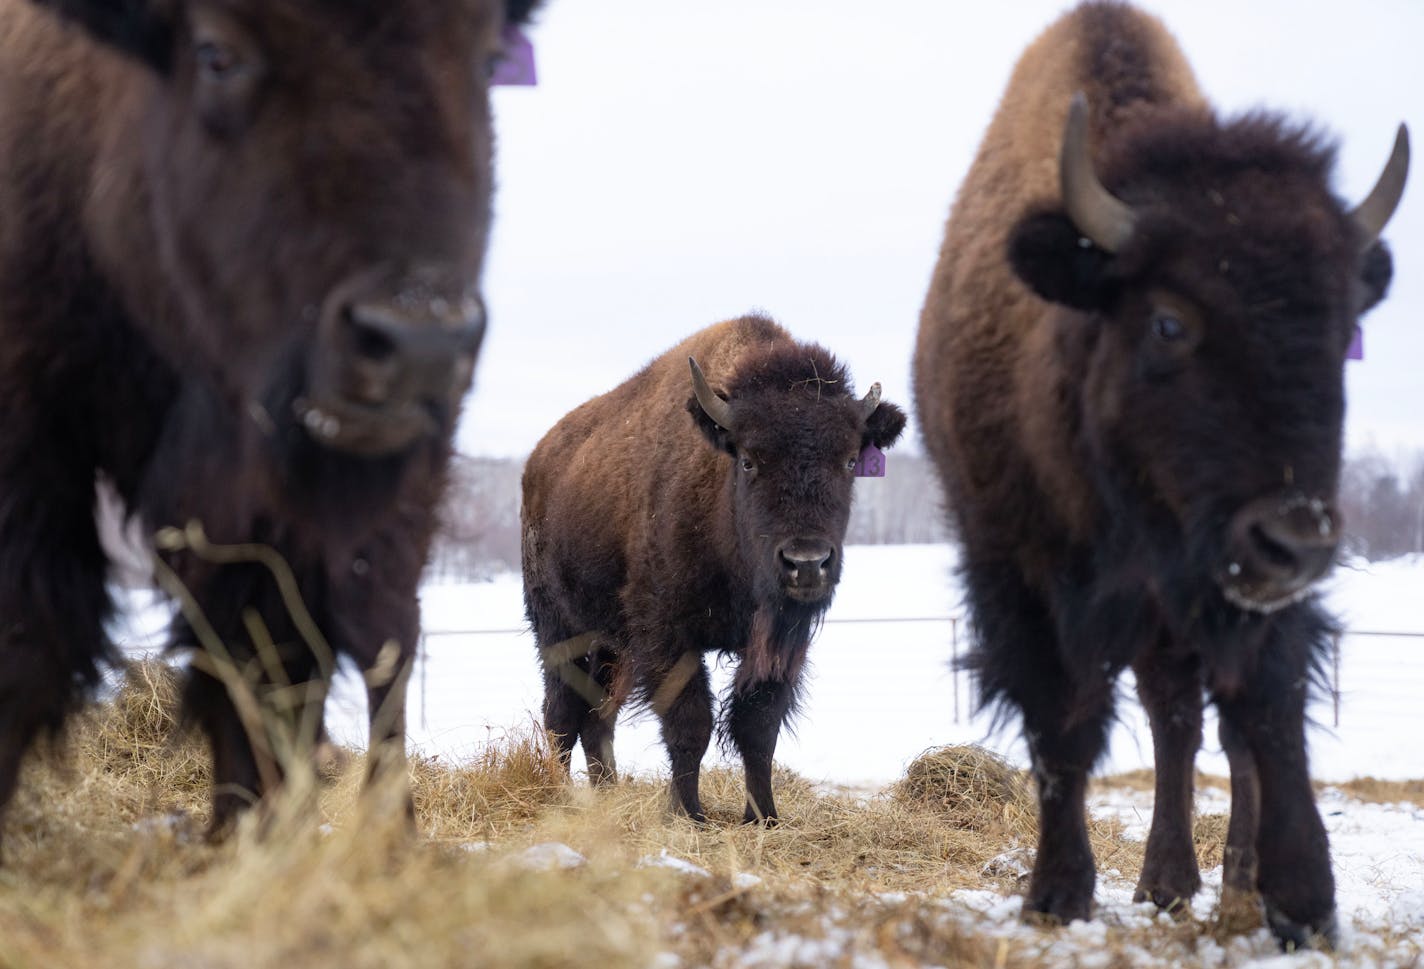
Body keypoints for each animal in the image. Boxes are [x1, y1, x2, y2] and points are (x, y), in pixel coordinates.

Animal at [521, 317, 899, 826]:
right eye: (749, 459)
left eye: (850, 460)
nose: (806, 563)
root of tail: (537, 462)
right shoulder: (667, 634)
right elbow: (690, 723)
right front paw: (688, 814)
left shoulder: (781, 639)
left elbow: (759, 727)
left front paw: (763, 817)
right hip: (558, 627)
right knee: (562, 713)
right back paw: (562, 797)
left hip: (610, 645)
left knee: (598, 716)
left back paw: (607, 794)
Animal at [911, 0, 1401, 951]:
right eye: (1169, 321)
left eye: (1342, 328)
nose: (1294, 538)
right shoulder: (1018, 573)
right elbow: (1064, 724)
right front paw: (1058, 893)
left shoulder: (1246, 594)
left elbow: (1268, 710)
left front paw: (1304, 900)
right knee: (1173, 722)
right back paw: (1166, 883)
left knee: (1211, 733)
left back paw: (1227, 880)